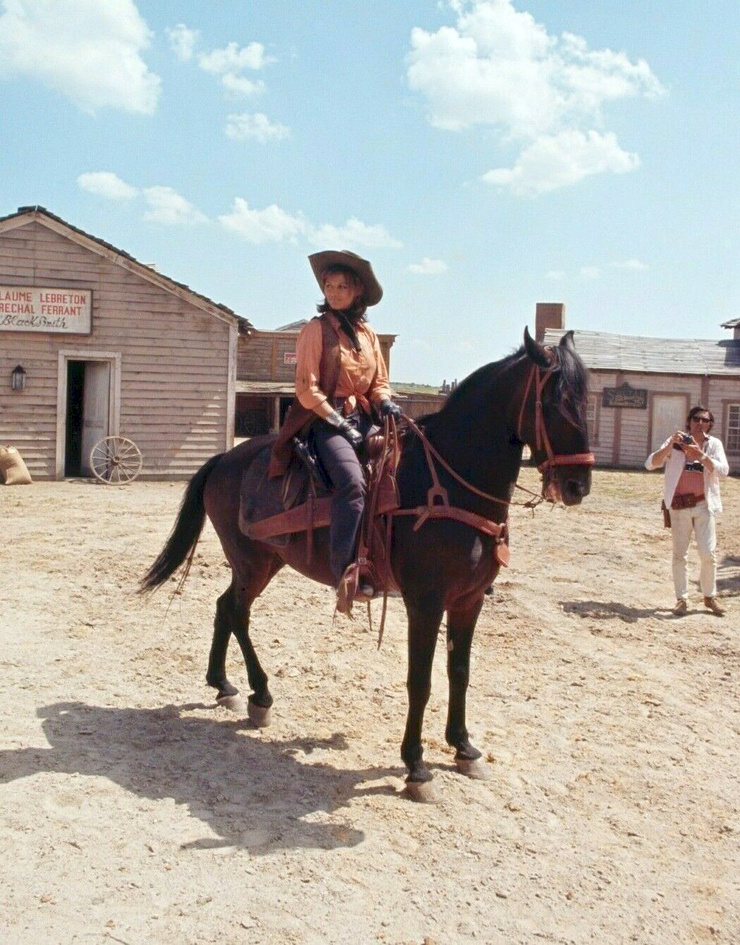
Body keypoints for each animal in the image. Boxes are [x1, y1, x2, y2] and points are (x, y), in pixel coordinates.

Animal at [142, 328, 596, 800]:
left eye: (585, 401)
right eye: (555, 401)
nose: (578, 485)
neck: (447, 483)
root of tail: (224, 460)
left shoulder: (469, 601)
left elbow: (460, 672)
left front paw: (463, 747)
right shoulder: (425, 603)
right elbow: (421, 680)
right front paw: (416, 766)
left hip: (263, 563)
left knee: (225, 608)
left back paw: (225, 685)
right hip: (252, 563)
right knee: (236, 612)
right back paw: (259, 694)